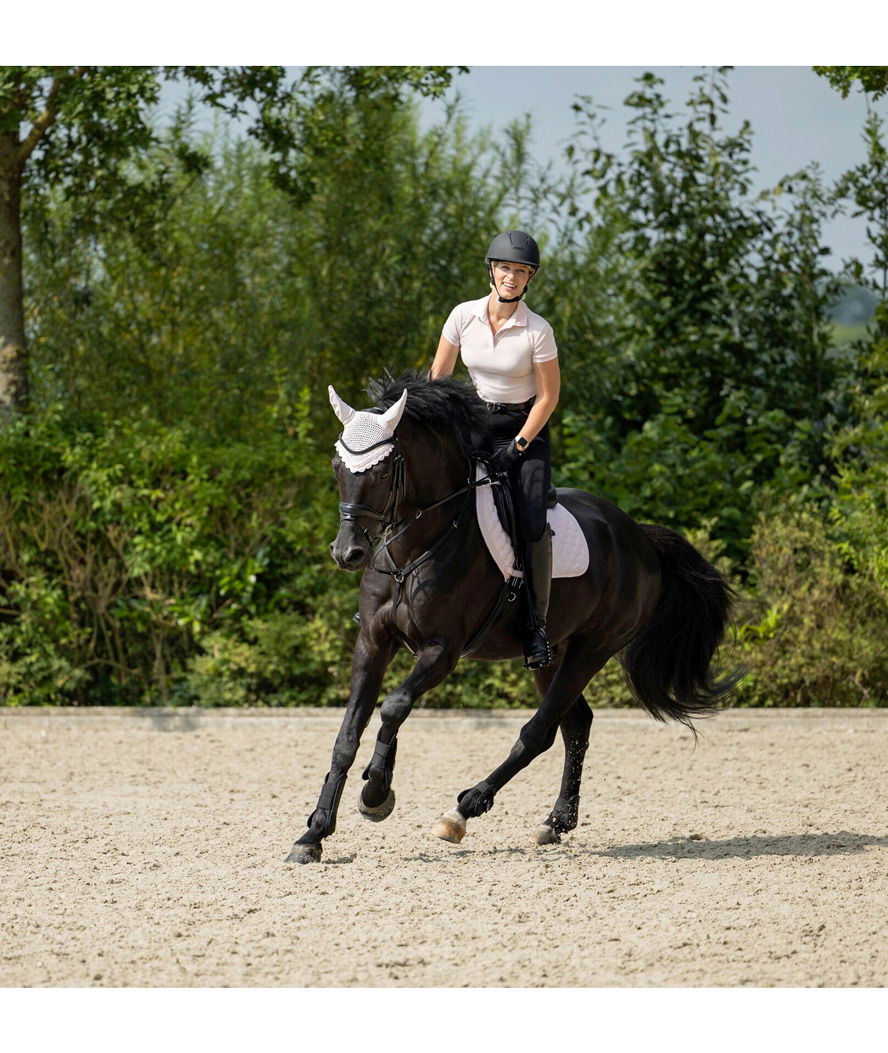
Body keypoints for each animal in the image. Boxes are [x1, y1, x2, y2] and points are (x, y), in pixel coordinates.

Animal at [286, 372, 741, 863]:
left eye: (384, 471)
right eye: (338, 466)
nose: (347, 553)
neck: (413, 551)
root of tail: (639, 537)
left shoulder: (442, 651)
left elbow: (394, 706)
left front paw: (376, 795)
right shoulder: (373, 641)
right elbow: (348, 734)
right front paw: (313, 835)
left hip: (591, 649)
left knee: (539, 732)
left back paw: (462, 812)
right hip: (552, 652)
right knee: (575, 724)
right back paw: (555, 822)